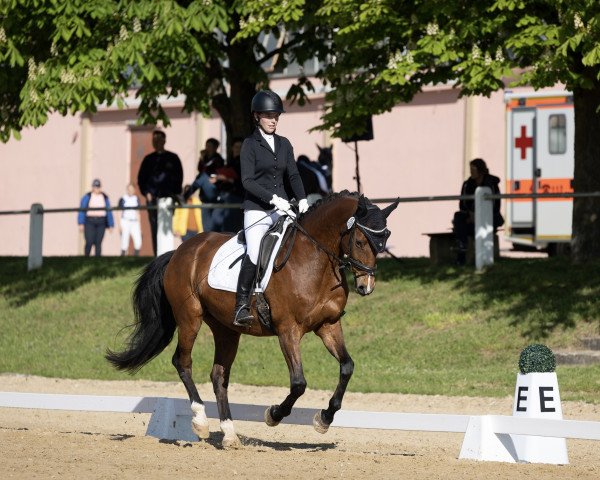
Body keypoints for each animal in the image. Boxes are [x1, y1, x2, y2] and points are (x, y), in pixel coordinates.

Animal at [106, 189, 400, 448]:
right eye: (360, 241)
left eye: (383, 241)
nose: (365, 286)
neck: (316, 260)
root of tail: (180, 251)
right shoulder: (288, 330)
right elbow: (299, 383)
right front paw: (273, 415)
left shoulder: (328, 325)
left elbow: (347, 367)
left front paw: (324, 419)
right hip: (190, 317)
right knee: (183, 362)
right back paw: (200, 422)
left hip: (226, 329)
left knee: (219, 376)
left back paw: (229, 434)